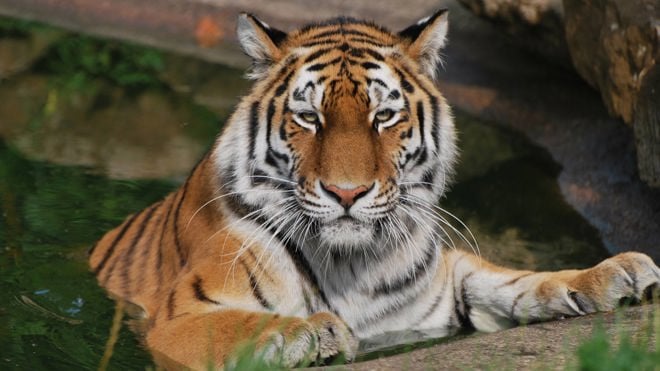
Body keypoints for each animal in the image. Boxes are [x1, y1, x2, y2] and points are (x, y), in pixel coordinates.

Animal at [89, 9, 660, 371]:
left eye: (383, 116)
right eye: (309, 117)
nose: (347, 193)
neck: (351, 264)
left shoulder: (447, 277)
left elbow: (517, 280)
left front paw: (615, 274)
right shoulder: (178, 317)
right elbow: (236, 325)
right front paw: (305, 332)